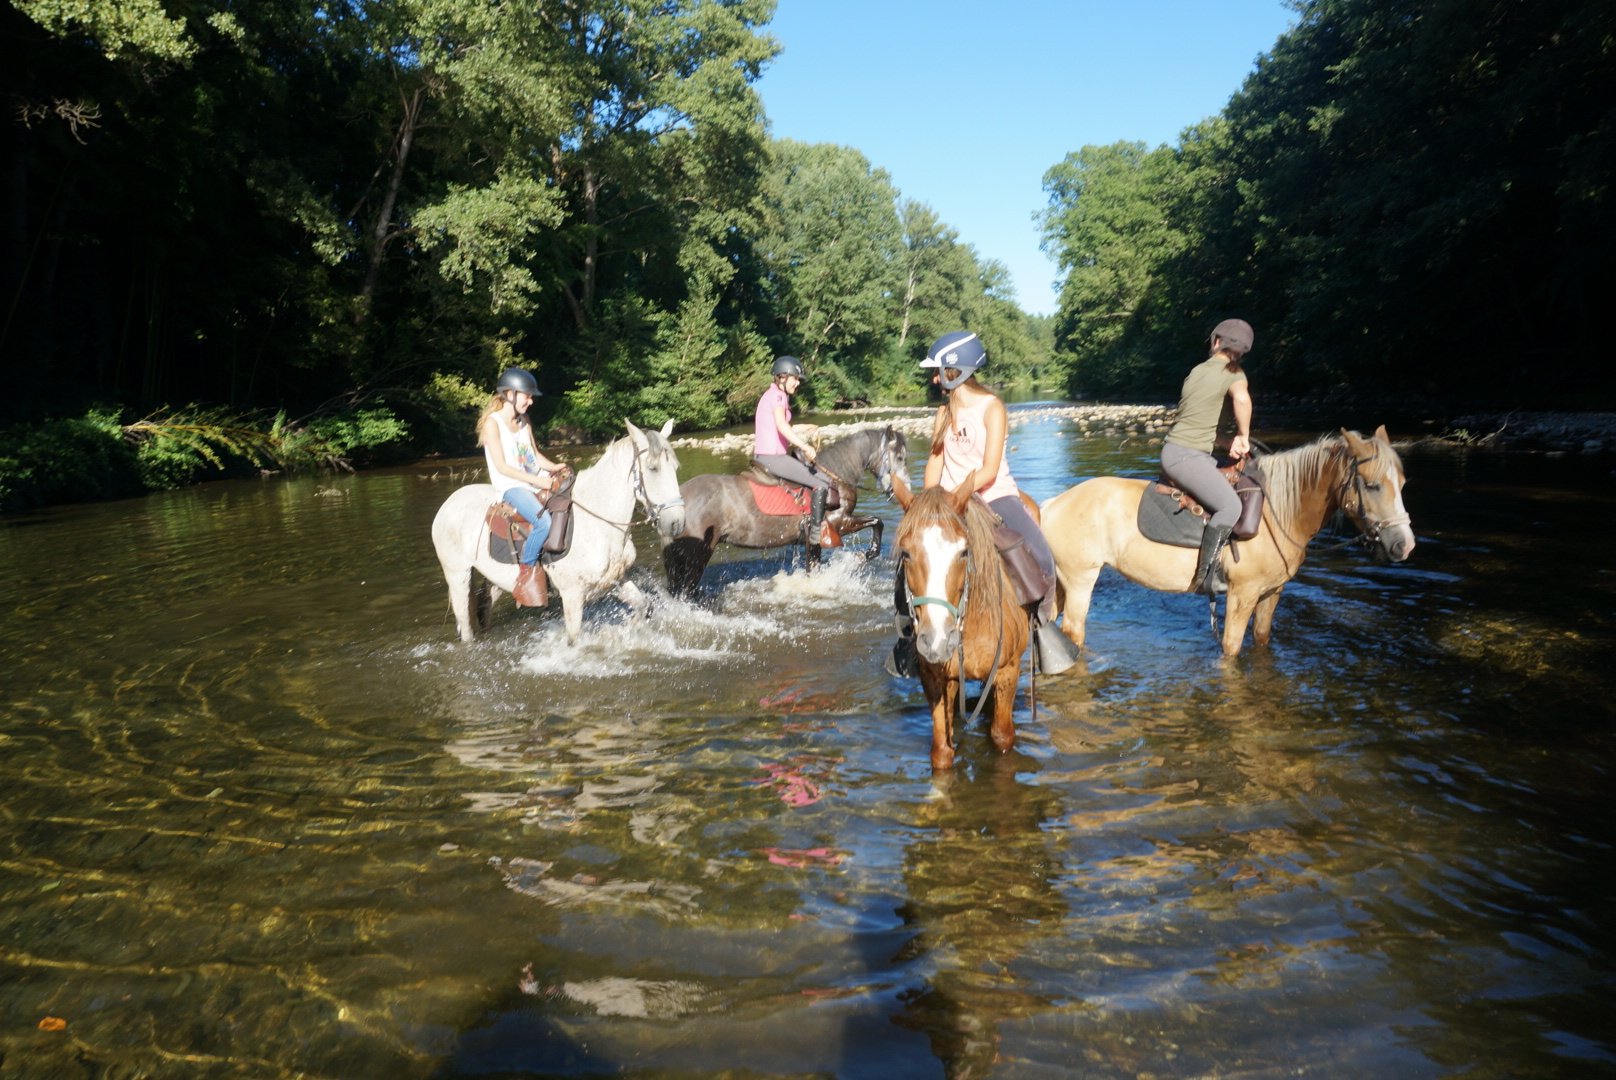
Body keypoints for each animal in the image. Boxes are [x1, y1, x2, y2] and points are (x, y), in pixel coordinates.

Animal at [431, 419, 685, 644]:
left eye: (675, 467)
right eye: (652, 468)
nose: (677, 523)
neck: (597, 524)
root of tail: (448, 503)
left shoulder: (617, 580)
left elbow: (644, 606)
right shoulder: (572, 594)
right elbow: (573, 638)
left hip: (493, 578)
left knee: (484, 609)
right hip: (458, 575)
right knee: (466, 625)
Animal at [662, 425, 906, 596]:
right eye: (900, 457)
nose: (900, 492)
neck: (836, 475)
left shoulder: (815, 538)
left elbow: (814, 566)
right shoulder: (838, 523)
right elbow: (877, 521)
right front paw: (865, 554)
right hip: (696, 554)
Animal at [892, 479, 1032, 771]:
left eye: (964, 552)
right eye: (906, 553)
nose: (936, 640)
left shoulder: (1008, 671)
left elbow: (1003, 736)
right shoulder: (935, 678)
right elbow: (941, 751)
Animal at [1040, 425, 1416, 658]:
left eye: (1402, 483)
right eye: (1372, 485)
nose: (1404, 545)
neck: (1277, 515)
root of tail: (1052, 505)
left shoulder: (1270, 593)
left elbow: (1261, 639)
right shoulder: (1241, 595)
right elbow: (1231, 648)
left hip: (1063, 583)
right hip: (1080, 580)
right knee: (1073, 631)